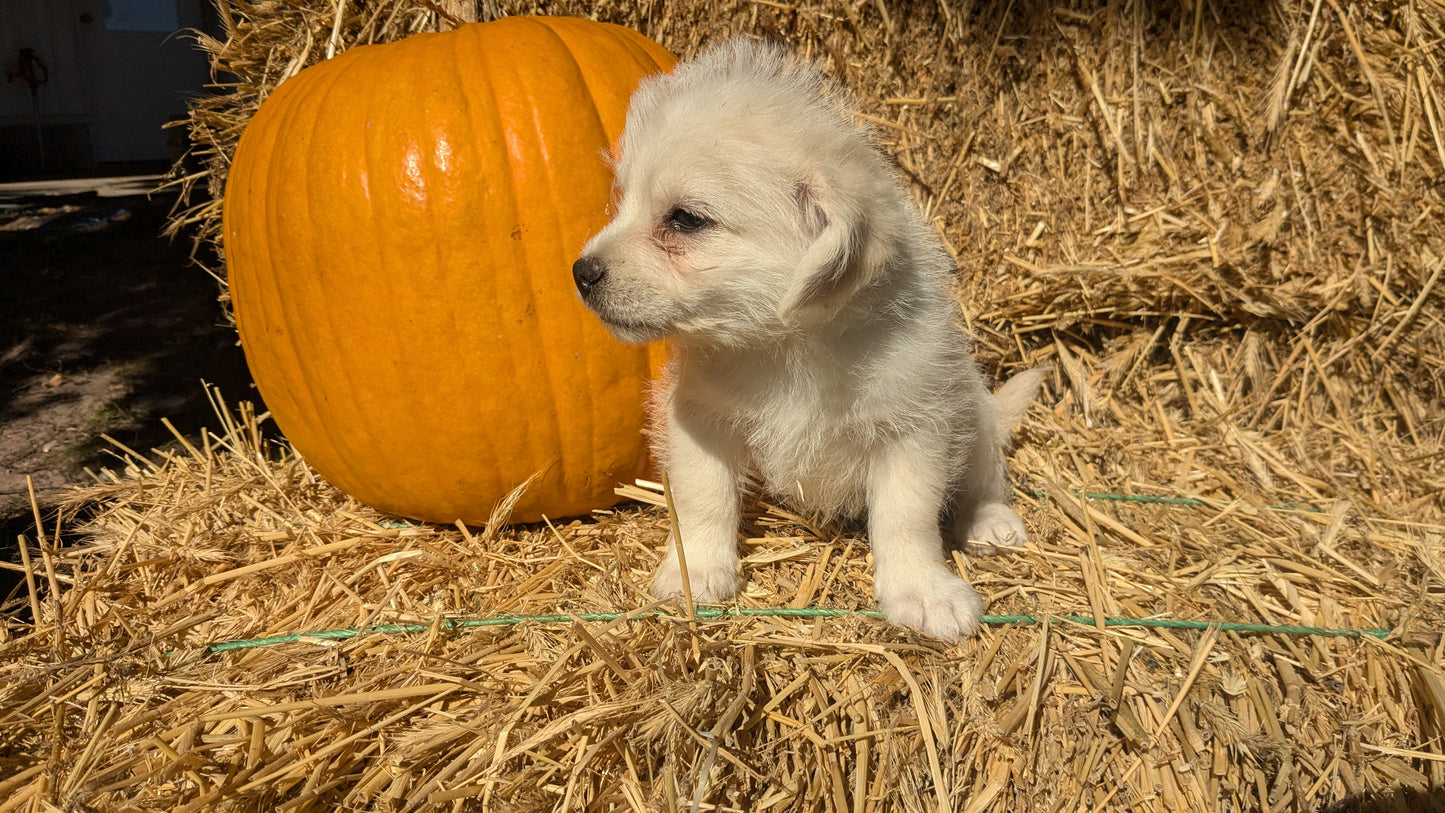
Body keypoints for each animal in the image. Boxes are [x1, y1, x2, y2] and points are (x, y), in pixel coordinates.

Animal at [569, 39, 1046, 644]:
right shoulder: (698, 420)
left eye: (685, 220)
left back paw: (991, 520)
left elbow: (906, 517)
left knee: (984, 475)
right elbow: (705, 499)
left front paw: (921, 590)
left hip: (975, 412)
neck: (784, 347)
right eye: (623, 201)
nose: (580, 272)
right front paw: (697, 570)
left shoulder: (916, 429)